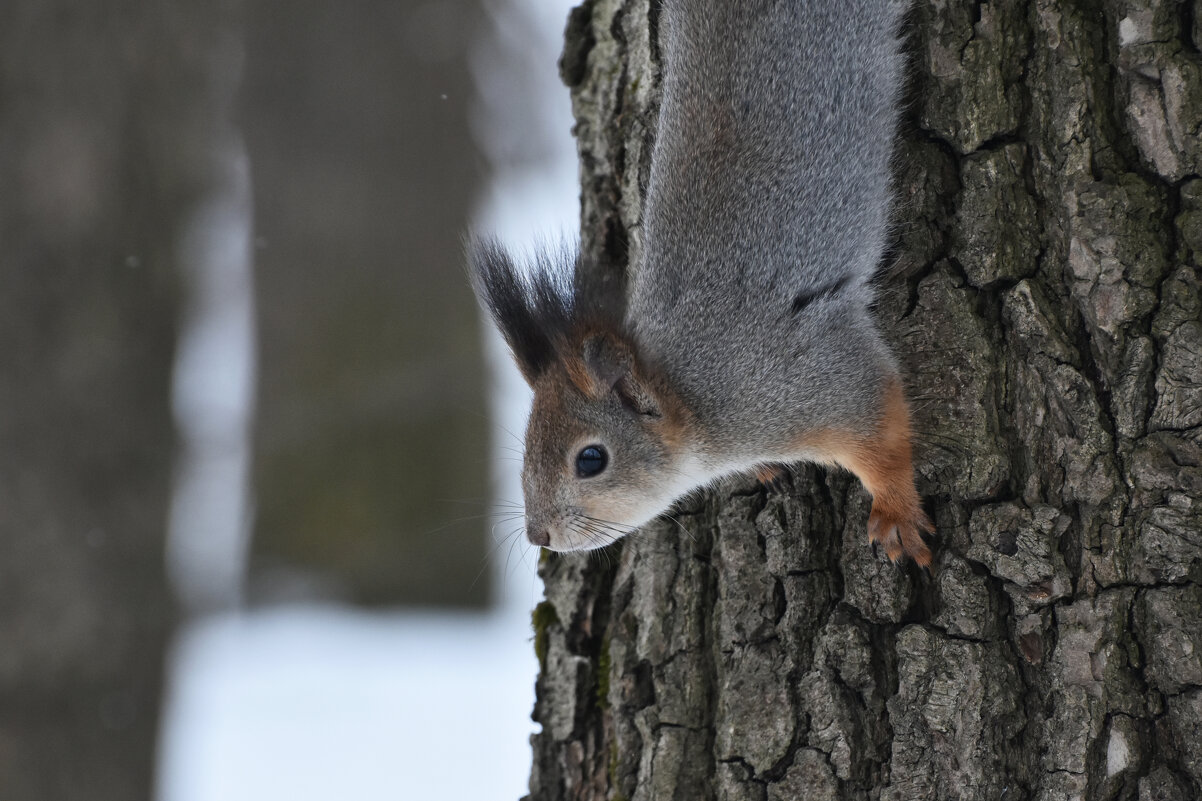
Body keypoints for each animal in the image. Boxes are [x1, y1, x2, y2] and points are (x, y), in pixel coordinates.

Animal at [466, 0, 927, 560]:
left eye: (591, 459)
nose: (540, 535)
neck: (687, 394)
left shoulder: (802, 381)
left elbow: (880, 429)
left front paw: (896, 513)